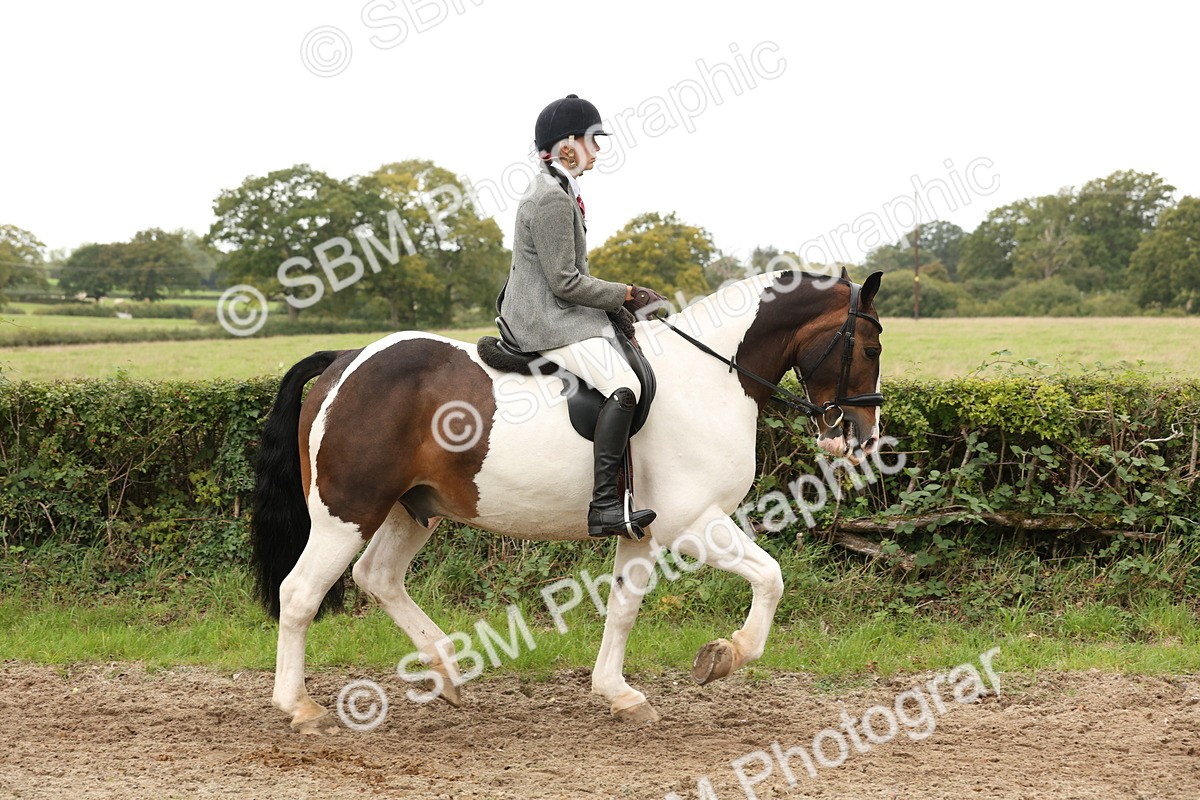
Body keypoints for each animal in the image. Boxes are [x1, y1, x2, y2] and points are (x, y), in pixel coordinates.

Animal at [251, 268, 885, 733]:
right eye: (871, 346)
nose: (860, 437)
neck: (711, 378)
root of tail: (342, 361)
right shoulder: (692, 523)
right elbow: (771, 577)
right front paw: (724, 655)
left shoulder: (643, 529)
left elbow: (624, 608)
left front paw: (620, 695)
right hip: (348, 511)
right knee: (300, 592)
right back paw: (300, 708)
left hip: (414, 509)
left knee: (378, 576)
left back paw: (448, 672)